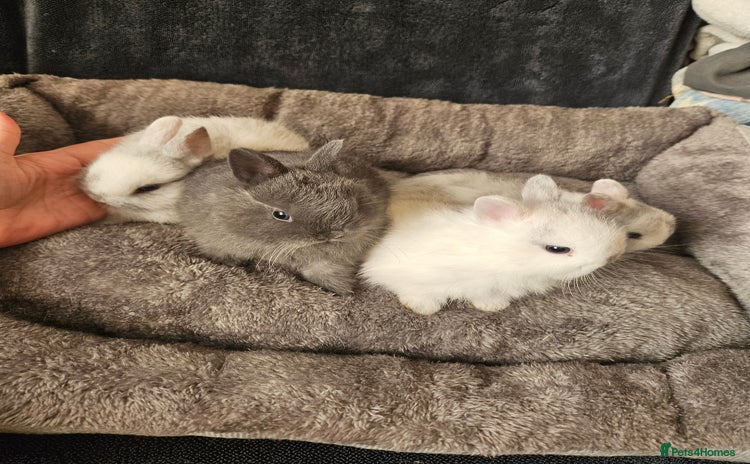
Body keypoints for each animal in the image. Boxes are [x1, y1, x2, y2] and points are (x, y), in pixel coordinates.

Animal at [361, 175, 627, 315]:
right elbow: (415, 290)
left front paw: (494, 306)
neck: (502, 257)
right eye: (557, 249)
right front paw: (423, 307)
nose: (613, 253)